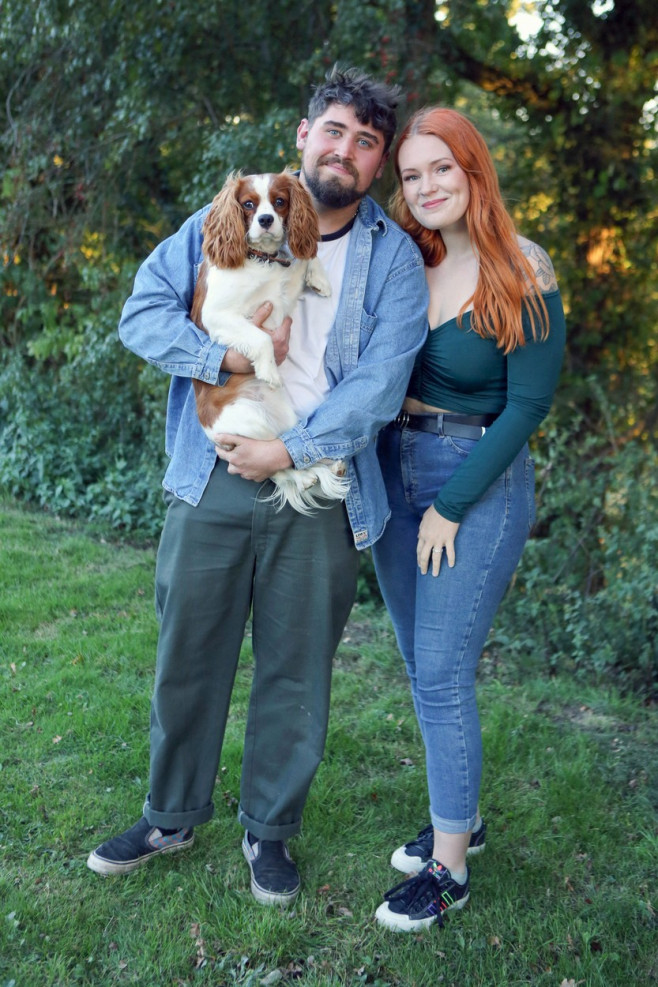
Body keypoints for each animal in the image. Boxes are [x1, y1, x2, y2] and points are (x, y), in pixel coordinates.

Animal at [190, 170, 348, 512]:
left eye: (279, 202)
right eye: (248, 204)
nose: (265, 219)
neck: (259, 259)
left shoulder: (282, 294)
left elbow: (303, 256)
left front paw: (319, 278)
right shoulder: (217, 315)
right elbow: (260, 336)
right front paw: (269, 371)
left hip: (284, 419)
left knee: (288, 452)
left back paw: (328, 467)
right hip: (248, 422)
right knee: (276, 469)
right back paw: (307, 478)